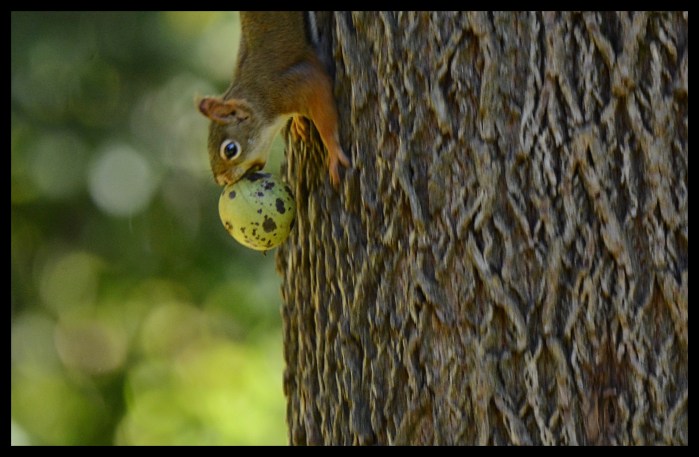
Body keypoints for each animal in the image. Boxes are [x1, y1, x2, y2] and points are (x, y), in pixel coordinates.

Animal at [198, 12, 350, 188]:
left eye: (230, 150)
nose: (222, 180)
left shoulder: (294, 86)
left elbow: (323, 111)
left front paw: (333, 152)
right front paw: (298, 121)